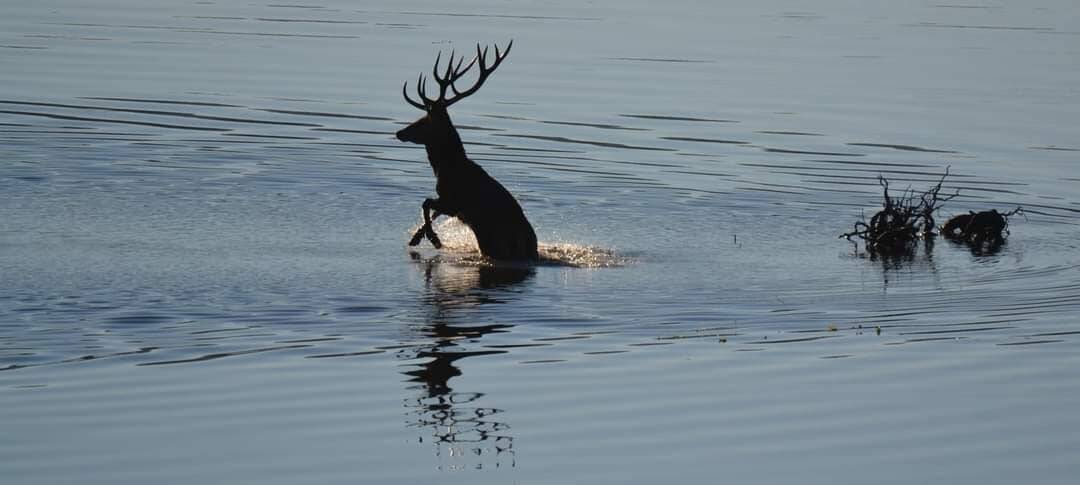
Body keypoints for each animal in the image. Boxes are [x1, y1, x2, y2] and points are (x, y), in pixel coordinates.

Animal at [395, 40, 537, 261]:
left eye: (423, 121)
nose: (399, 132)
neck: (444, 168)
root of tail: (531, 246)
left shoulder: (453, 202)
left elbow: (426, 203)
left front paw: (435, 239)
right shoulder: (449, 205)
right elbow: (430, 212)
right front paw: (417, 237)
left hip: (494, 242)